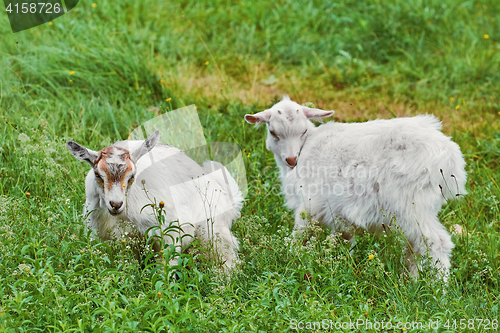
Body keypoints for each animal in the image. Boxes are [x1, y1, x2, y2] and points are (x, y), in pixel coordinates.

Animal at [66, 130, 244, 270]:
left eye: (132, 176)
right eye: (97, 174)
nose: (116, 205)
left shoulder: (168, 234)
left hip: (212, 232)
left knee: (225, 259)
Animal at [246, 96, 468, 278]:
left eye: (303, 131)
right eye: (273, 132)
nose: (291, 160)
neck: (307, 146)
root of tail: (450, 156)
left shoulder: (309, 204)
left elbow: (299, 235)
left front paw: (288, 258)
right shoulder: (339, 213)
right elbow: (344, 240)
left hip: (411, 204)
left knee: (436, 243)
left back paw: (438, 289)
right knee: (415, 246)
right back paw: (411, 281)